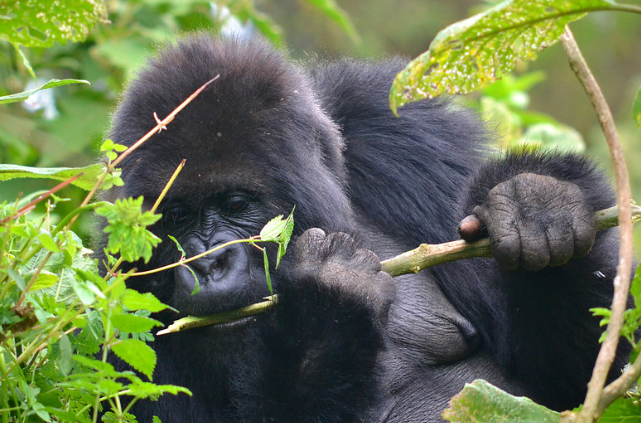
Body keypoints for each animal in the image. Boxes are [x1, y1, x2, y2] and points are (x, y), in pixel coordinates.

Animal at [105, 34, 632, 422]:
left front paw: (538, 206)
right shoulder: (118, 305)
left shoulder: (404, 140)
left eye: (235, 204)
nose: (209, 265)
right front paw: (327, 300)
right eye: (175, 217)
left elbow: (578, 380)